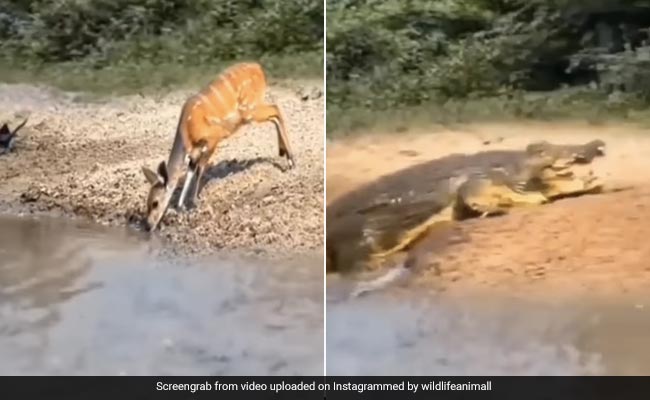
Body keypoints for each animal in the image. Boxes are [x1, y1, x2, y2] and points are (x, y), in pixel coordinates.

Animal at [141, 62, 295, 231]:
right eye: (147, 203)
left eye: (155, 203)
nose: (148, 226)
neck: (187, 131)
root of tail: (258, 67)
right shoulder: (195, 151)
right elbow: (190, 171)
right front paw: (181, 206)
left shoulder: (213, 138)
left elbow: (200, 168)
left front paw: (194, 202)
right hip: (251, 111)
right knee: (274, 115)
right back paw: (283, 153)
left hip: (249, 109)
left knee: (275, 108)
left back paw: (291, 161)